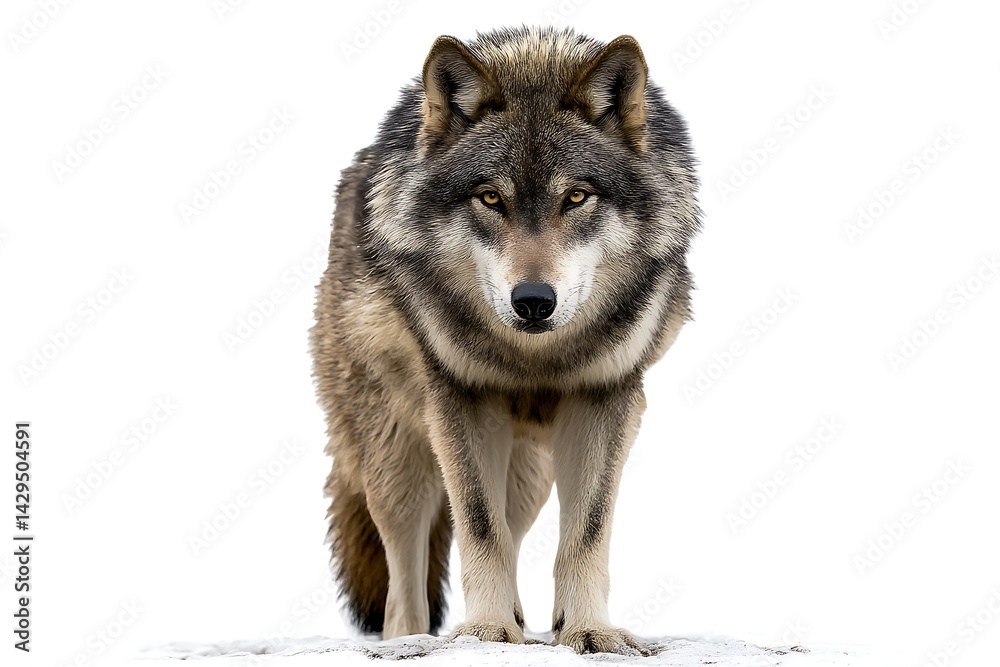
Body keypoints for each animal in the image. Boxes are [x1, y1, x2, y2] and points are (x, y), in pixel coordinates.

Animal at [310, 26, 701, 655]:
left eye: (577, 197)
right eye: (491, 198)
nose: (534, 300)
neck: (533, 359)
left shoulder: (607, 397)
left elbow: (586, 531)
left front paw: (587, 630)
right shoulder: (461, 399)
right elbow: (477, 524)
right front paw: (487, 630)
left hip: (528, 475)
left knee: (512, 531)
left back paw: (525, 623)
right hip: (398, 458)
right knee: (404, 573)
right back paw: (414, 637)